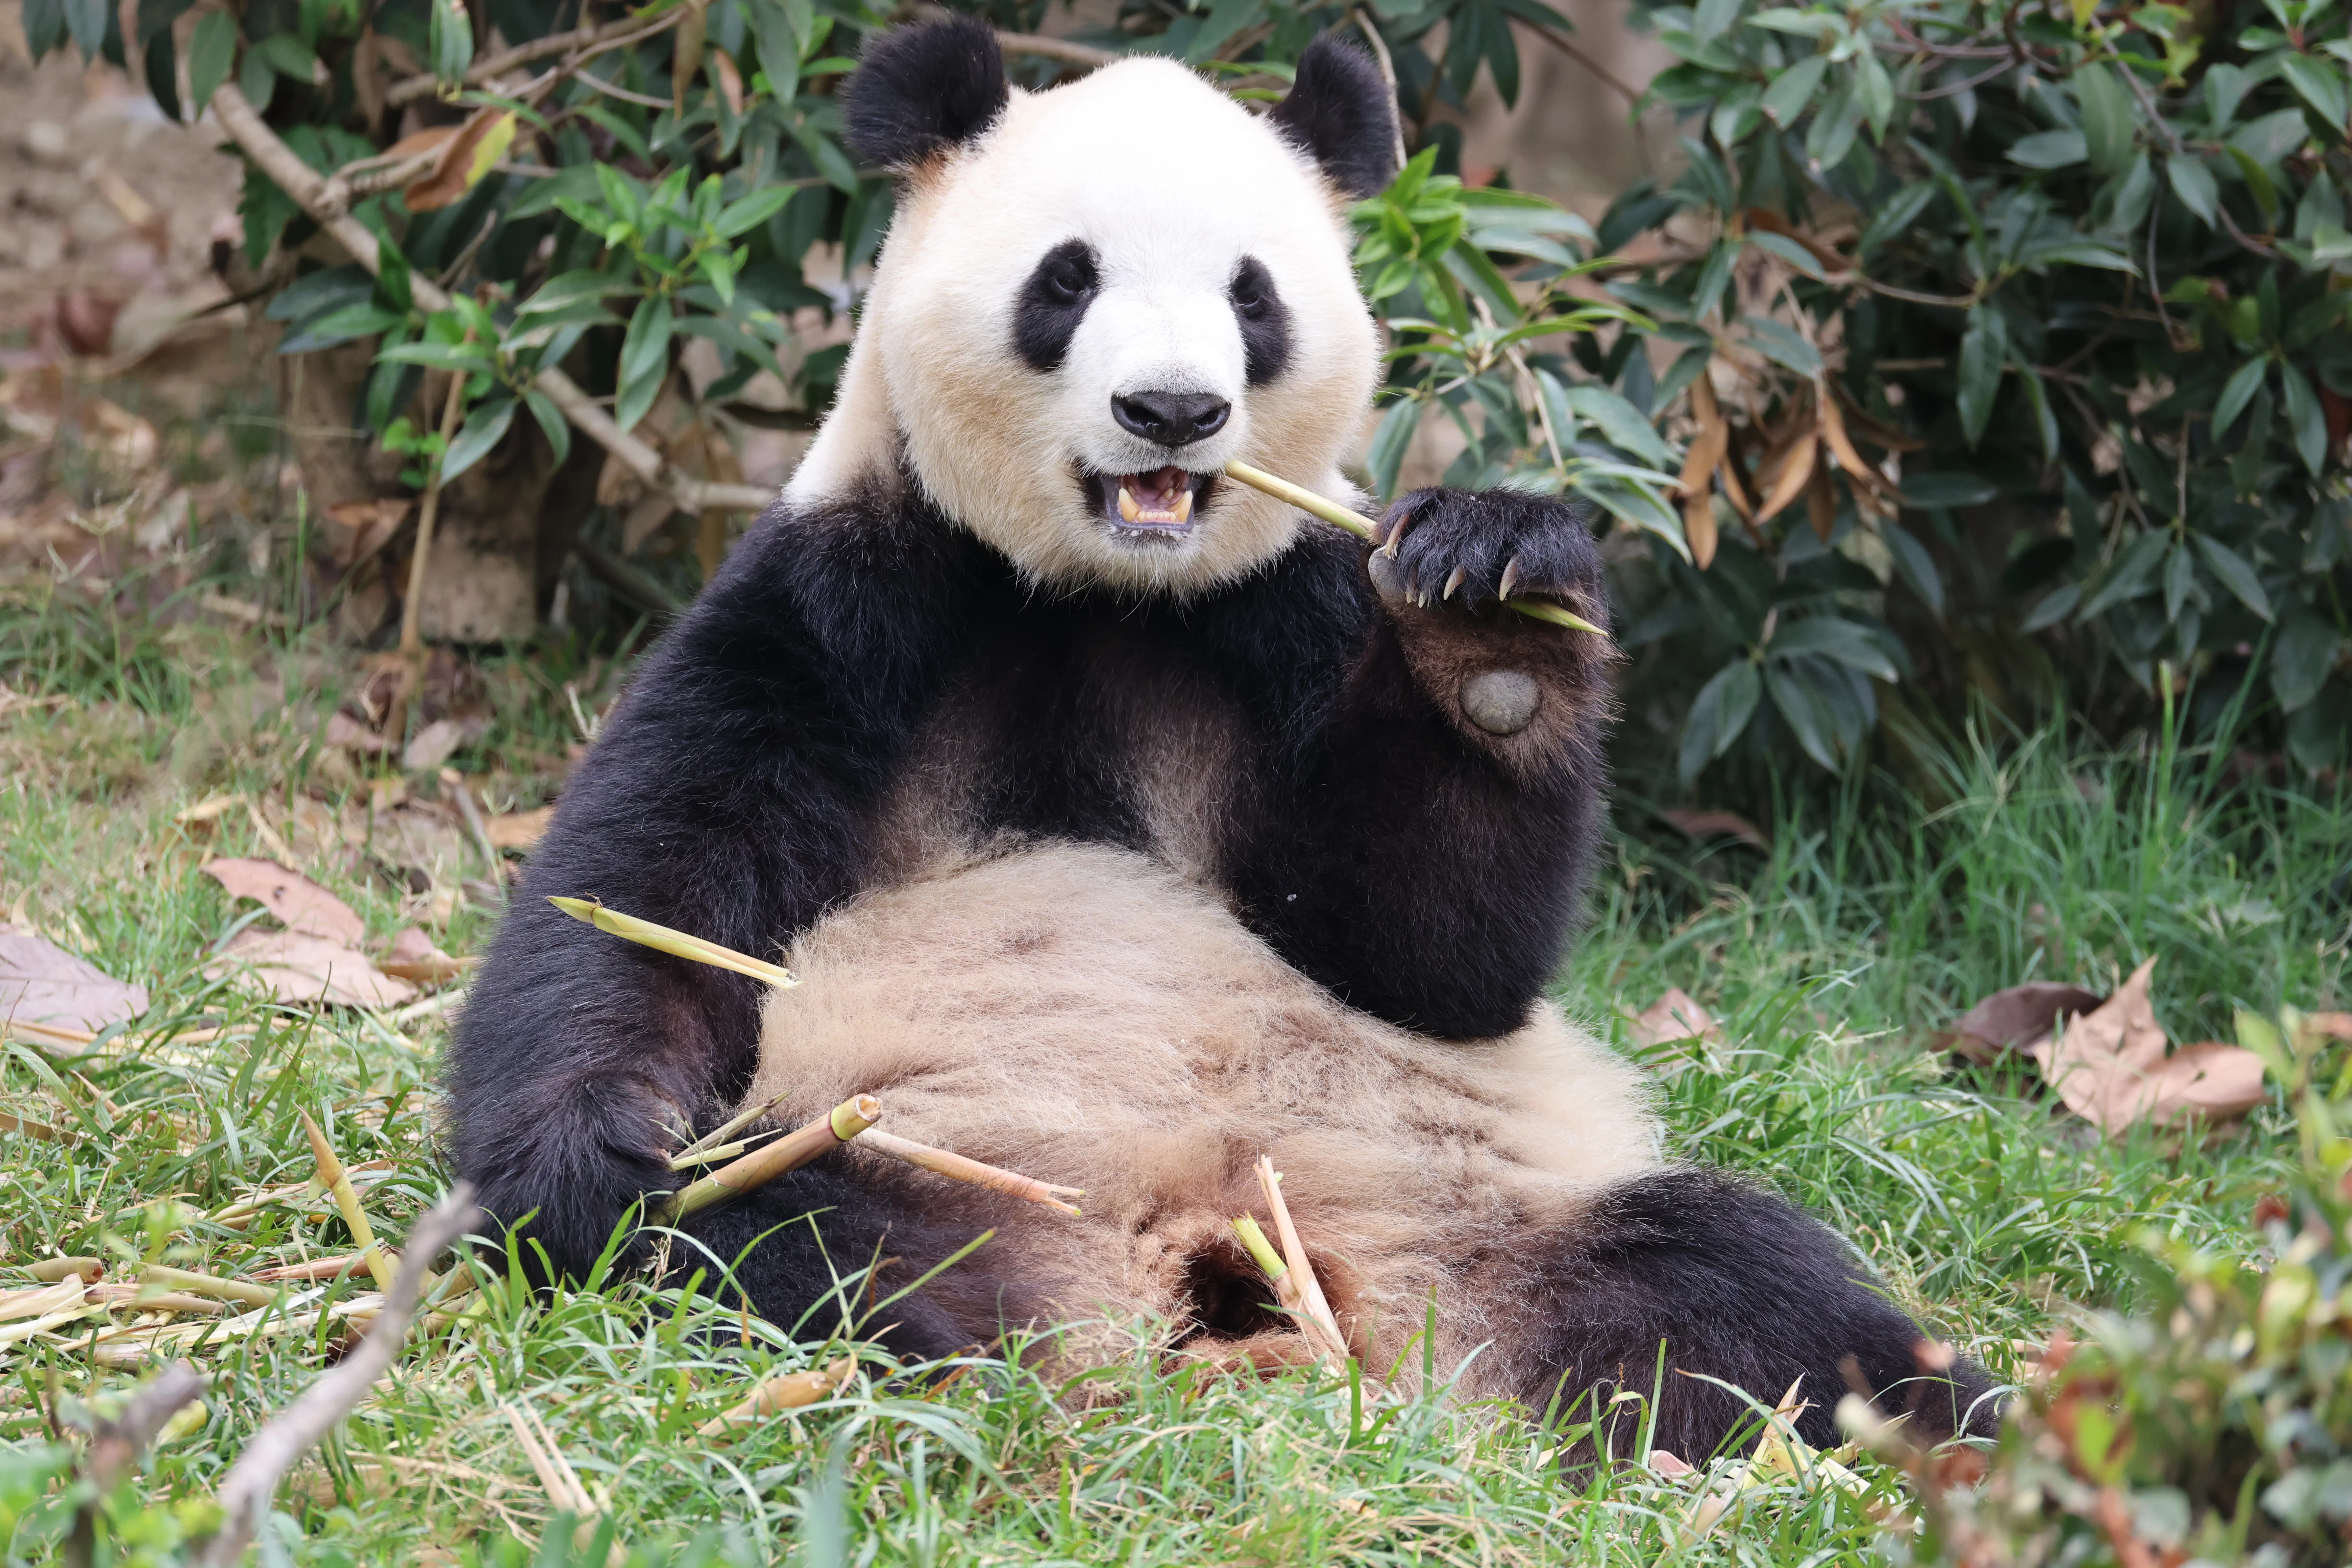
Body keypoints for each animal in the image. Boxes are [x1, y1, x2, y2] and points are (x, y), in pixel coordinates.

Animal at [446, 17, 2000, 1461]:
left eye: (1251, 296)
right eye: (1066, 279)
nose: (1174, 412)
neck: (1097, 590)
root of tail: (1218, 1259)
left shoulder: (1290, 612)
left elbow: (1431, 956)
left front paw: (1494, 623)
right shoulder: (847, 602)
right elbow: (648, 899)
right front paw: (602, 1150)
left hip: (1482, 1206)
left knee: (1739, 1288)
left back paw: (1942, 1432)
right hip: (927, 1152)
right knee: (784, 1247)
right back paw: (944, 1366)